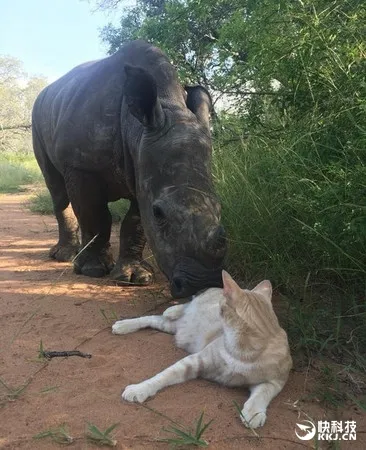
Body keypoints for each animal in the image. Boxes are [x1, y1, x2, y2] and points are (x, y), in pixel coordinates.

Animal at [32, 40, 226, 298]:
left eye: (219, 207)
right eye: (159, 213)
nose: (203, 284)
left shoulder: (142, 168)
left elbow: (135, 223)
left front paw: (134, 277)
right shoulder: (81, 165)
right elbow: (94, 214)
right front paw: (93, 270)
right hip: (38, 116)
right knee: (57, 189)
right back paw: (65, 256)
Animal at [111, 268, 292, 428]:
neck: (243, 350)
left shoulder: (275, 381)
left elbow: (262, 394)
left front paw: (253, 413)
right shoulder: (192, 362)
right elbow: (161, 376)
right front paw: (139, 389)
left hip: (174, 328)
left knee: (156, 319)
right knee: (161, 313)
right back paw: (131, 322)